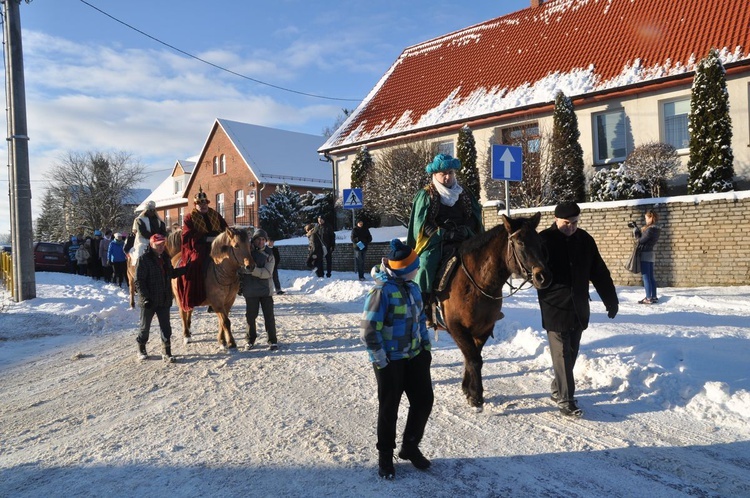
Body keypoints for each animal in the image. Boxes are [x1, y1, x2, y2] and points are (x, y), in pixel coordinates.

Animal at [434, 212, 552, 410]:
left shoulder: (484, 328)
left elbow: (473, 357)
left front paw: (468, 389)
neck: (477, 283)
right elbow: (474, 359)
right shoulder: (457, 328)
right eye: (520, 242)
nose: (543, 277)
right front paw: (476, 397)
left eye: (540, 242)